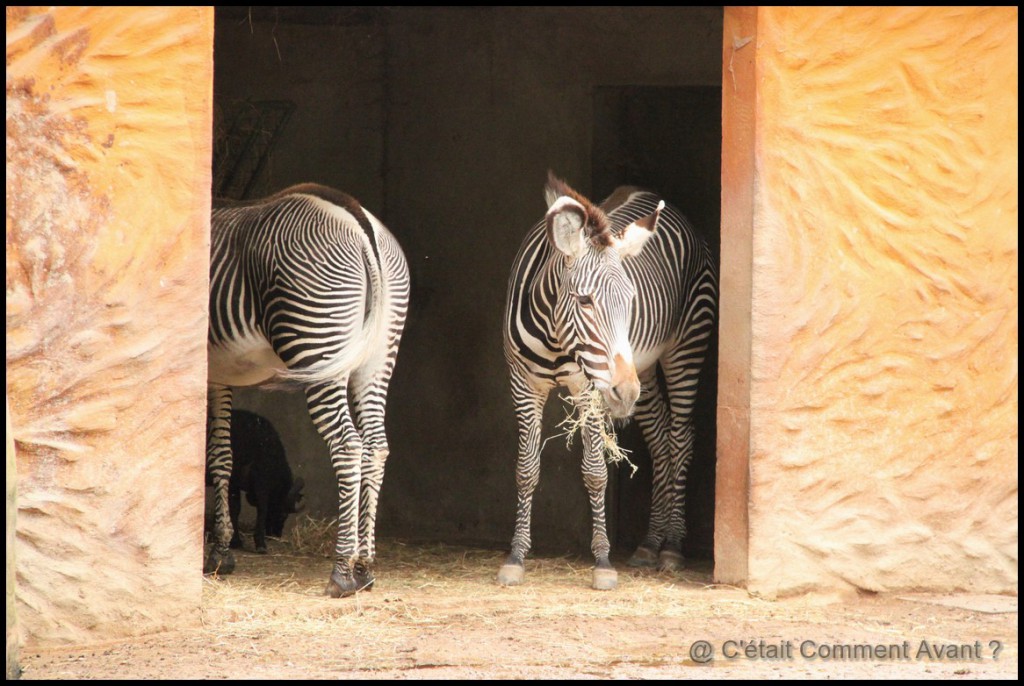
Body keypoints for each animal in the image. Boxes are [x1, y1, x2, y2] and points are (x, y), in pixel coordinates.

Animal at [203, 181, 411, 597]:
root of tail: (360, 221)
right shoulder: (220, 374)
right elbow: (222, 455)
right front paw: (221, 552)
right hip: (378, 353)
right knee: (376, 446)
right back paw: (364, 567)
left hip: (316, 339)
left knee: (348, 444)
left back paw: (342, 572)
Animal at [499, 170, 716, 589]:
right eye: (585, 301)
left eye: (631, 300)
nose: (625, 391)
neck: (555, 336)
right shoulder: (523, 384)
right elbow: (526, 469)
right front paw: (516, 557)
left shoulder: (590, 390)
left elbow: (595, 472)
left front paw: (602, 561)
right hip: (641, 370)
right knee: (660, 438)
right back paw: (650, 543)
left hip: (684, 347)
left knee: (680, 438)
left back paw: (672, 546)